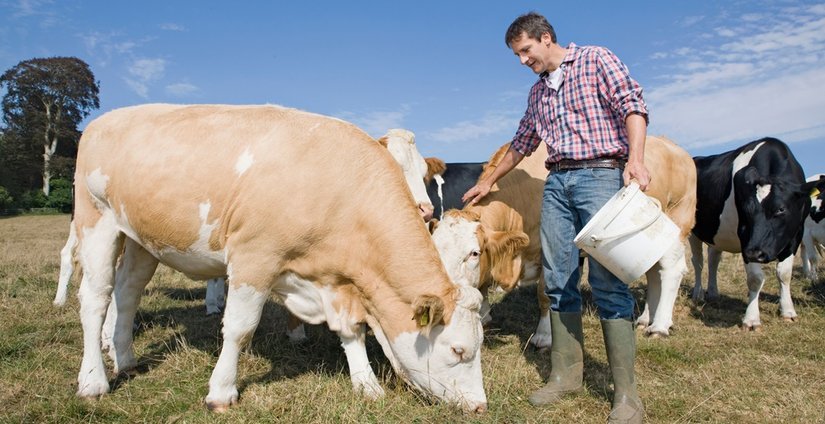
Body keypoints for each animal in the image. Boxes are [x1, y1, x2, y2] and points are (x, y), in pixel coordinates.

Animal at [72, 104, 490, 412]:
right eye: (458, 350)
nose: (480, 406)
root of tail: (104, 120)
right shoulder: (254, 258)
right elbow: (239, 328)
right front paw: (221, 391)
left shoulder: (337, 280)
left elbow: (351, 331)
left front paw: (367, 383)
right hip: (97, 220)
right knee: (95, 299)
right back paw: (94, 379)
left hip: (141, 239)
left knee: (127, 294)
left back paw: (125, 358)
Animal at [432, 136, 696, 348]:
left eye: (473, 253)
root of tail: (676, 148)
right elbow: (482, 286)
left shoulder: (549, 252)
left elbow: (545, 295)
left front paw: (544, 336)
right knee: (653, 273)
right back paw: (644, 320)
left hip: (677, 221)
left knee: (670, 270)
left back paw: (660, 326)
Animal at [688, 137, 824, 330]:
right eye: (746, 209)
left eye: (781, 209)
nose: (754, 253)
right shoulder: (746, 237)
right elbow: (755, 278)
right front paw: (751, 319)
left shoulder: (796, 235)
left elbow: (784, 273)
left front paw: (788, 311)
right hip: (693, 230)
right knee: (698, 261)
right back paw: (698, 293)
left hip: (717, 232)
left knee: (713, 259)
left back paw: (713, 293)